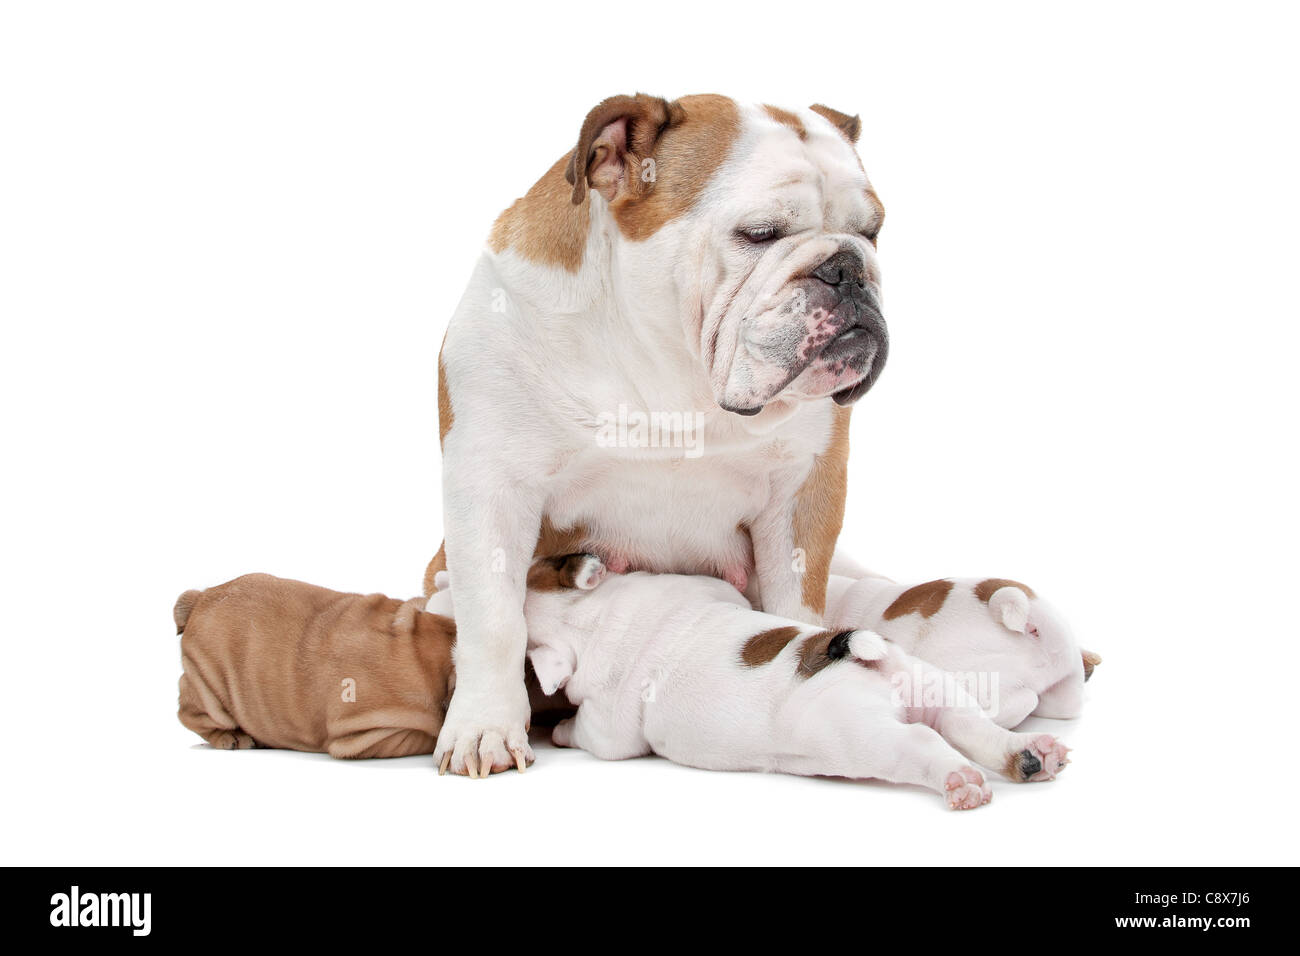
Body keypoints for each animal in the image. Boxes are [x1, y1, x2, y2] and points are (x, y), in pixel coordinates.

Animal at [426, 556, 1066, 811]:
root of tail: (858, 656)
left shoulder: (609, 730)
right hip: (930, 683)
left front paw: (558, 731)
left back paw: (962, 782)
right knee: (970, 724)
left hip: (862, 734)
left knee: (923, 745)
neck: (589, 614)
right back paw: (1031, 755)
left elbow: (588, 732)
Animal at [431, 91, 889, 780]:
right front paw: (484, 727)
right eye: (759, 234)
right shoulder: (489, 482)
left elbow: (796, 602)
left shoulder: (803, 491)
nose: (848, 267)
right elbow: (493, 620)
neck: (673, 374)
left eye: (872, 231)